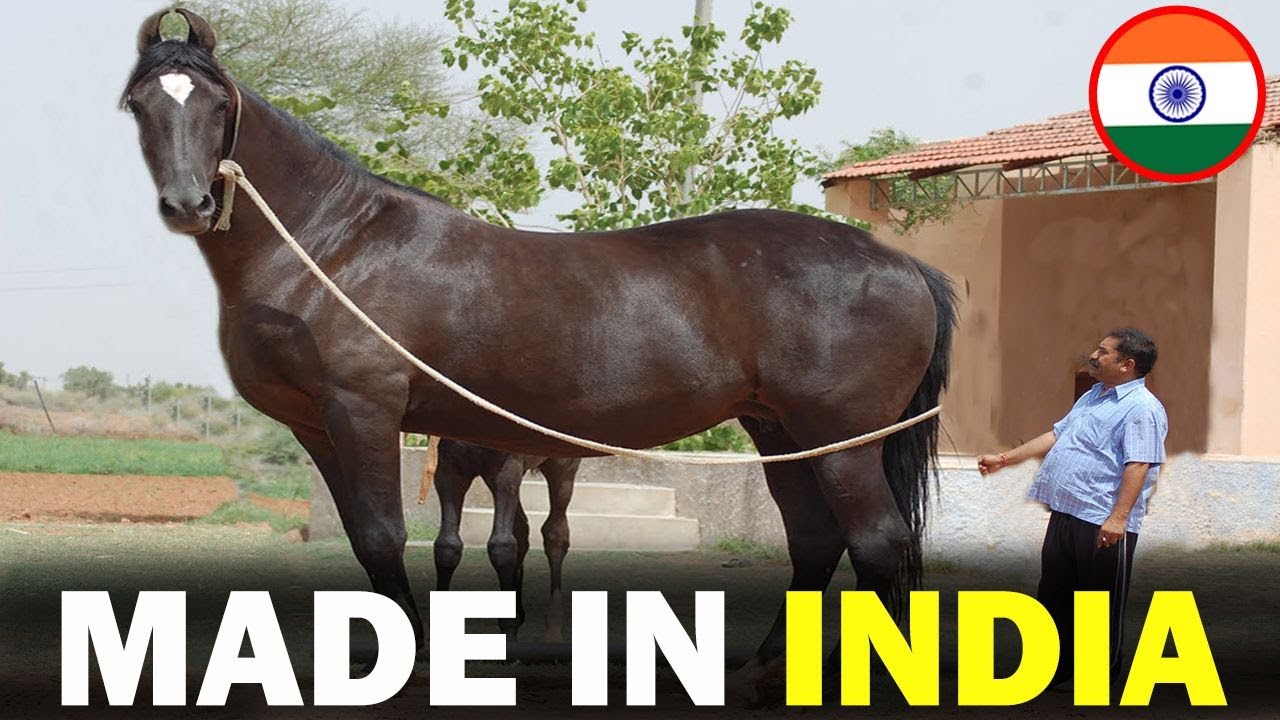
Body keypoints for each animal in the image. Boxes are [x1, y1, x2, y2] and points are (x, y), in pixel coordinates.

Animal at [432, 439, 581, 642]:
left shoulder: (506, 469)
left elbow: (502, 546)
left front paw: (509, 632)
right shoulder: (449, 469)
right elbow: (447, 546)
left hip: (562, 466)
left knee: (555, 534)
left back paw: (554, 631)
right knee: (522, 530)